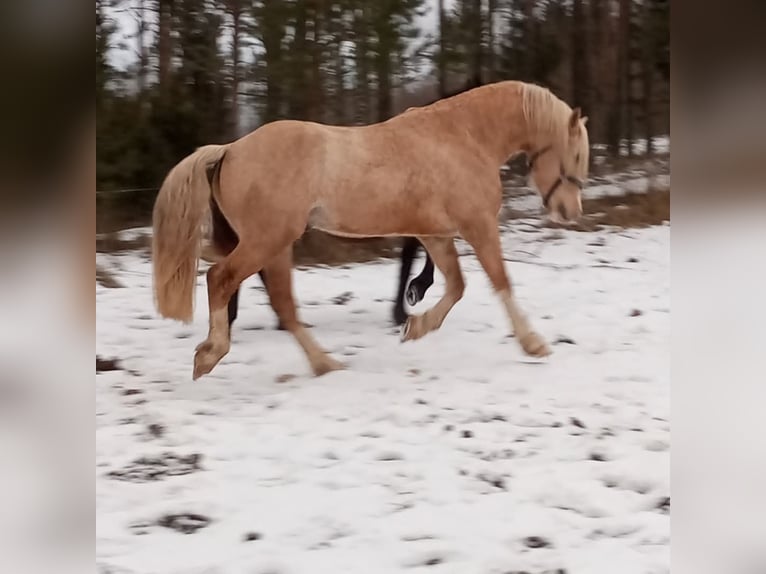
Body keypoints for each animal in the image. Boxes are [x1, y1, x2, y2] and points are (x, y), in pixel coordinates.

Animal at [153, 80, 592, 378]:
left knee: (281, 304)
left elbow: (454, 285)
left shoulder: (435, 234)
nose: (570, 212)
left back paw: (324, 364)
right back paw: (211, 354)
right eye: (574, 154)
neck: (463, 138)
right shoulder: (477, 224)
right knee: (221, 279)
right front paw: (534, 345)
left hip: (275, 246)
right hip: (268, 241)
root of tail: (229, 150)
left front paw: (414, 326)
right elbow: (500, 281)